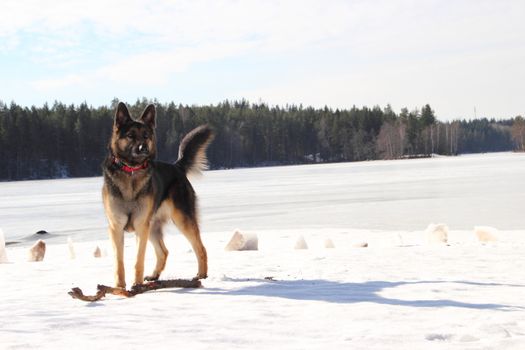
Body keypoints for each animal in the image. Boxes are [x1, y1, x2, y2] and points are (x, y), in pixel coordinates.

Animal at [101, 101, 212, 288]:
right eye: (130, 135)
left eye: (146, 135)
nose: (143, 148)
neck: (131, 171)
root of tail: (177, 166)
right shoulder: (116, 227)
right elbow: (119, 262)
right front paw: (119, 287)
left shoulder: (141, 226)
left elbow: (139, 260)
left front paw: (136, 286)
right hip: (153, 226)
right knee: (164, 252)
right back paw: (154, 276)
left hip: (181, 220)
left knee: (201, 248)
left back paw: (201, 276)